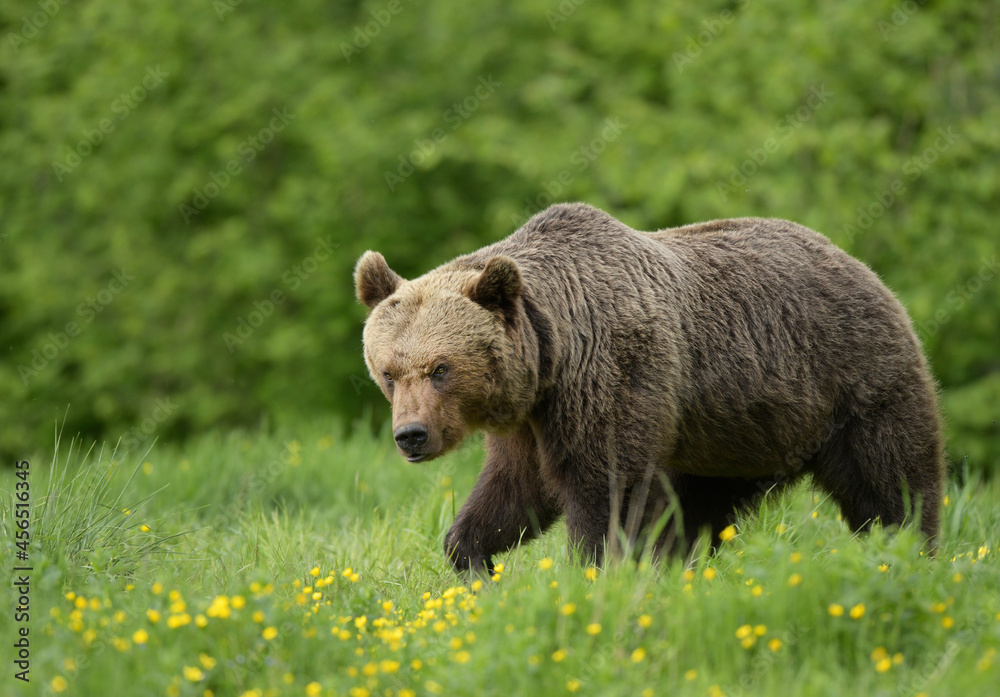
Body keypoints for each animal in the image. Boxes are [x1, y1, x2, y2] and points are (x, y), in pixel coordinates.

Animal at [354, 203, 944, 574]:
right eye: (388, 372)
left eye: (441, 368)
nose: (411, 435)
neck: (553, 356)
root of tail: (861, 266)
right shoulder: (530, 418)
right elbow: (515, 490)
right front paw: (472, 556)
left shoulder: (613, 378)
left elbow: (610, 490)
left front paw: (595, 570)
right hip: (730, 435)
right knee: (700, 508)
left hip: (851, 384)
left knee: (889, 482)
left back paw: (911, 552)